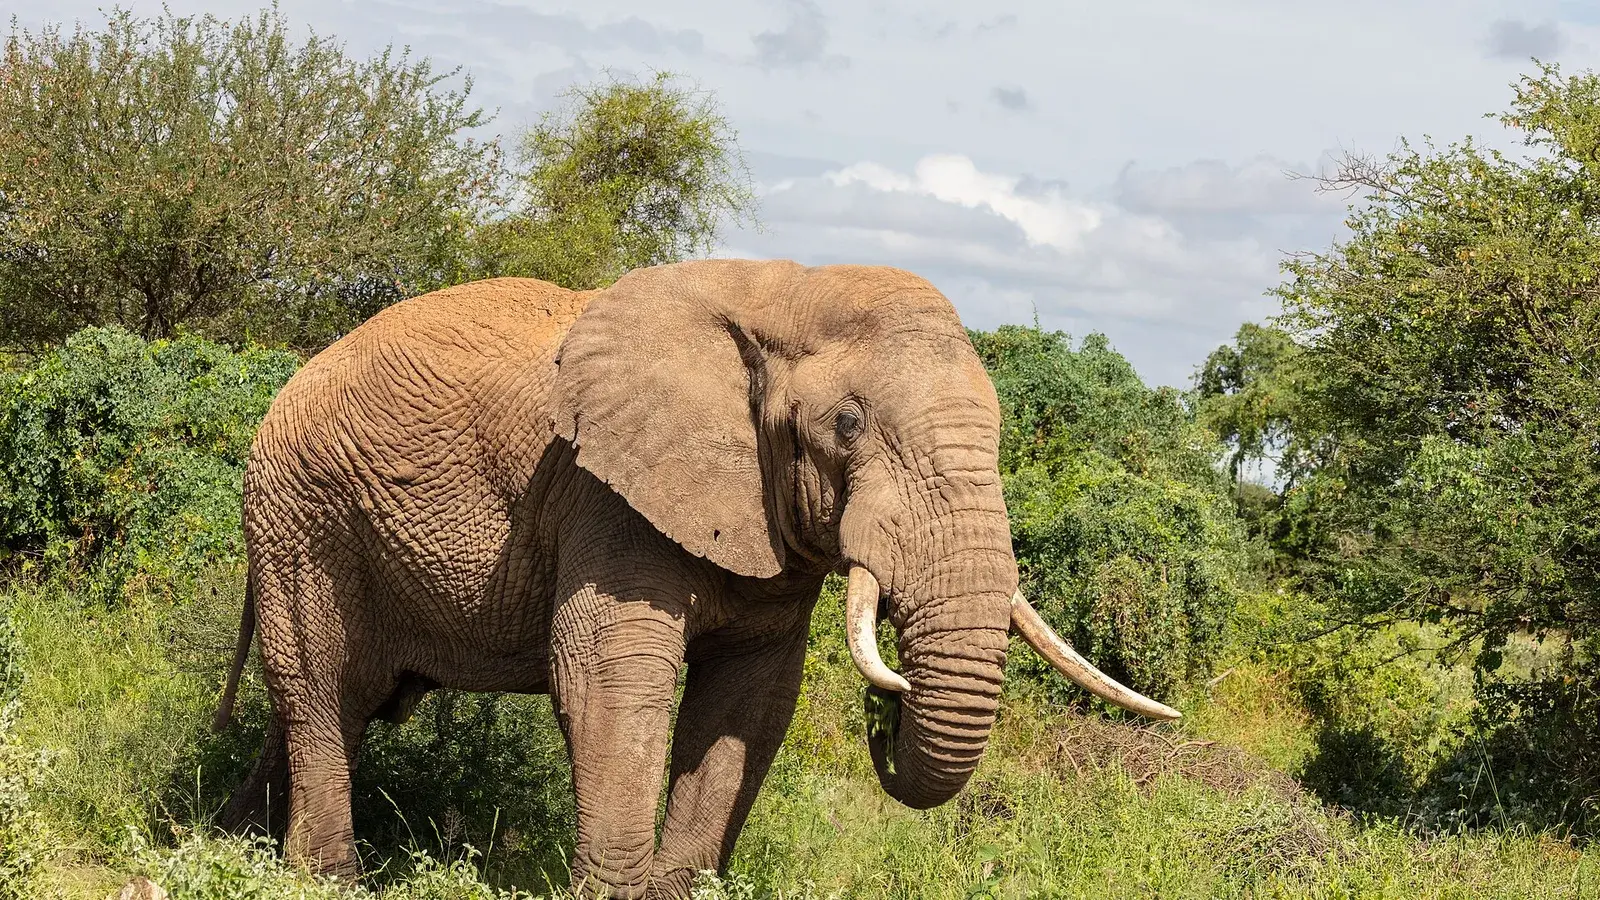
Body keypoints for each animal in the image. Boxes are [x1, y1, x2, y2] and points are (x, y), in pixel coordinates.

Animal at [210, 259, 1178, 898]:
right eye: (848, 424)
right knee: (323, 692)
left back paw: (235, 842)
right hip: (299, 519)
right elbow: (610, 679)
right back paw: (321, 878)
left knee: (341, 708)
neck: (783, 295)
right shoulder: (604, 490)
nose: (888, 703)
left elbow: (750, 702)